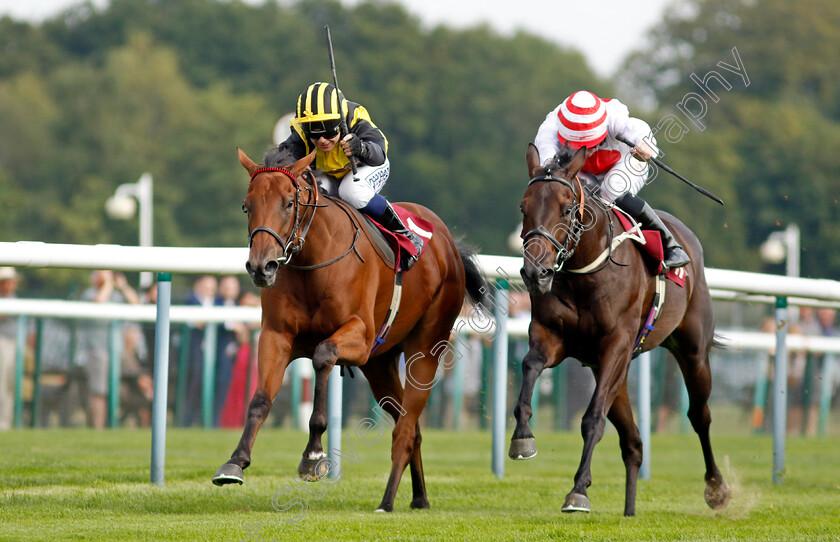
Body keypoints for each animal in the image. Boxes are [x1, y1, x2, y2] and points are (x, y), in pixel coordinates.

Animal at [212, 148, 486, 516]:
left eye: (288, 203)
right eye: (247, 205)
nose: (261, 267)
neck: (311, 262)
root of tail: (447, 242)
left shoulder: (360, 336)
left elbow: (323, 355)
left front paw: (314, 455)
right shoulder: (276, 335)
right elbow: (260, 399)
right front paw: (235, 462)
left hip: (426, 348)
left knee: (405, 428)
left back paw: (387, 501)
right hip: (380, 365)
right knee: (410, 426)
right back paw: (419, 497)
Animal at [508, 144, 732, 520]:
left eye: (566, 208)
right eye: (523, 207)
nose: (535, 273)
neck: (584, 272)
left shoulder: (616, 345)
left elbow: (592, 419)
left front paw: (578, 491)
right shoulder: (551, 336)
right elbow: (530, 365)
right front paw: (522, 437)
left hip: (692, 353)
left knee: (700, 416)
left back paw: (717, 488)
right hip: (614, 371)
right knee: (633, 441)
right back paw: (629, 509)